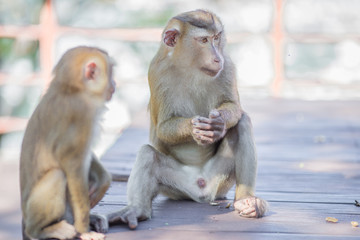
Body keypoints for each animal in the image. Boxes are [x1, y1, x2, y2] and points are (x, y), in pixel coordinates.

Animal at [19, 46, 115, 239]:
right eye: (111, 72)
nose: (114, 84)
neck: (70, 89)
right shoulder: (82, 114)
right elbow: (73, 164)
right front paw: (85, 230)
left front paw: (103, 179)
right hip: (32, 212)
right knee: (57, 174)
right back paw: (44, 229)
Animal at [107, 9, 268, 230]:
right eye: (203, 40)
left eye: (216, 38)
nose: (216, 58)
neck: (192, 67)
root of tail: (200, 187)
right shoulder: (157, 72)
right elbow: (162, 127)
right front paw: (195, 129)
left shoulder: (227, 65)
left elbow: (234, 108)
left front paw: (219, 124)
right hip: (175, 188)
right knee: (148, 154)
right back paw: (137, 210)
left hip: (221, 181)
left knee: (242, 123)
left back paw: (246, 200)